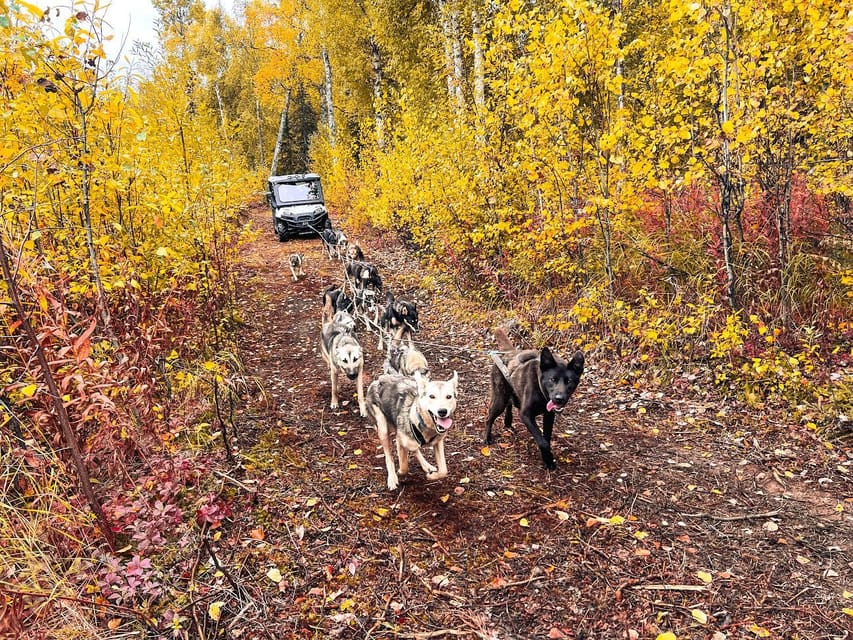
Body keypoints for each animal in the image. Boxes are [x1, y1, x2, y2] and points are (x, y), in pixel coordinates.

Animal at [482, 324, 584, 470]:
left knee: (510, 403)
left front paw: (548, 460)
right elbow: (542, 442)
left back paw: (508, 422)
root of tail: (508, 352)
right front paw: (549, 460)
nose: (559, 399)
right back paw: (487, 437)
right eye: (552, 379)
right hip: (499, 398)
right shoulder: (526, 415)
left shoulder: (549, 415)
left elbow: (546, 438)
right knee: (489, 417)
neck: (542, 392)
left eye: (569, 381)